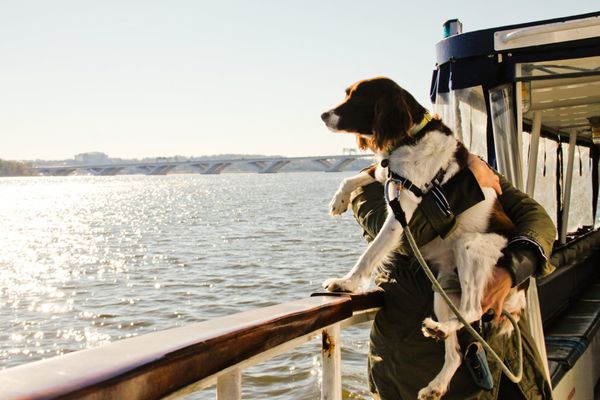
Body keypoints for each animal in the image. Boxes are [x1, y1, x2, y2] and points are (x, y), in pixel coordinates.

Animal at [322, 76, 524, 398]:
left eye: (357, 98)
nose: (323, 115)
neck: (410, 137)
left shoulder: (402, 209)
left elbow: (370, 253)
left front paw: (346, 283)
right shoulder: (388, 174)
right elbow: (358, 174)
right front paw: (339, 200)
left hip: (470, 248)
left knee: (472, 309)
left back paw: (442, 331)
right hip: (442, 292)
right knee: (456, 352)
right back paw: (436, 382)